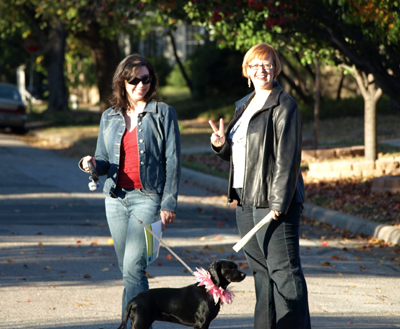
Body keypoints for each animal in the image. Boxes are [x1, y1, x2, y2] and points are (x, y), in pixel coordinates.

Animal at [117, 258, 245, 328]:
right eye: (231, 268)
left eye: (236, 266)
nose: (244, 274)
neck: (209, 289)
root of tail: (134, 300)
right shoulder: (202, 323)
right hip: (141, 322)